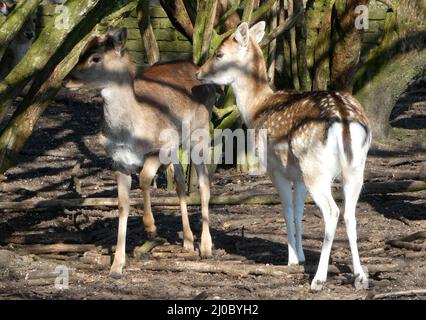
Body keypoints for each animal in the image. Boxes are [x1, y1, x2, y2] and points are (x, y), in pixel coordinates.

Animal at [64, 27, 215, 278]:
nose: (69, 80)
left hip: (199, 134)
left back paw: (205, 247)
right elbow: (122, 205)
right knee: (181, 182)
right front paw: (116, 266)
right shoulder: (118, 161)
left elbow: (144, 179)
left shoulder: (160, 147)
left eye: (96, 57)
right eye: (81, 53)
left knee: (203, 184)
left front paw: (151, 229)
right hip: (178, 149)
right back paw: (186, 241)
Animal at [195, 20, 372, 290]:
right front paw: (300, 255)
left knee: (332, 212)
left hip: (315, 168)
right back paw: (360, 277)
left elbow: (287, 210)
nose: (198, 72)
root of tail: (343, 118)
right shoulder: (297, 175)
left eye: (220, 54)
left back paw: (319, 279)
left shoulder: (274, 168)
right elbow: (299, 212)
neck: (256, 109)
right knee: (350, 213)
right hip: (355, 167)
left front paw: (291, 259)